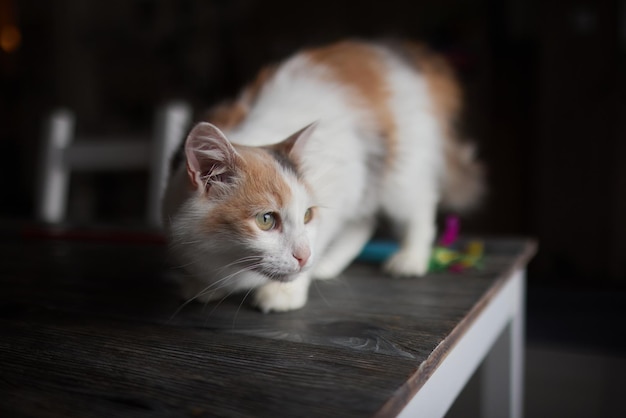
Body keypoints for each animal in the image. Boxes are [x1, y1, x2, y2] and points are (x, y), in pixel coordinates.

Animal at [161, 40, 482, 314]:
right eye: (266, 220)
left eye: (307, 215)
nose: (304, 257)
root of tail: (399, 51)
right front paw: (201, 284)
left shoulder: (339, 185)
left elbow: (321, 235)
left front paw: (284, 292)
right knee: (365, 221)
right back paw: (329, 265)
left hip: (399, 173)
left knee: (419, 210)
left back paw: (408, 259)